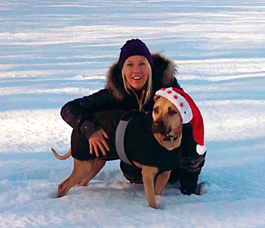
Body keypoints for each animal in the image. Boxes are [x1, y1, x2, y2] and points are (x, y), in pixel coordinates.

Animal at [52, 95, 183, 209]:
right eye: (155, 109)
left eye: (172, 112)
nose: (156, 125)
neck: (167, 142)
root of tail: (78, 128)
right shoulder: (147, 175)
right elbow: (152, 201)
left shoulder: (165, 174)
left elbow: (157, 193)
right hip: (84, 166)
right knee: (62, 186)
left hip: (96, 163)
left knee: (81, 183)